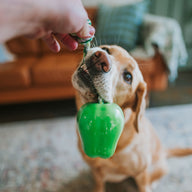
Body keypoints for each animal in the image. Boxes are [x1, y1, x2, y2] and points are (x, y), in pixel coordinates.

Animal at [71, 45, 192, 192]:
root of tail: (164, 151)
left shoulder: (142, 172)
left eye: (128, 77)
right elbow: (98, 185)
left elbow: (144, 186)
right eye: (106, 49)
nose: (100, 58)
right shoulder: (96, 172)